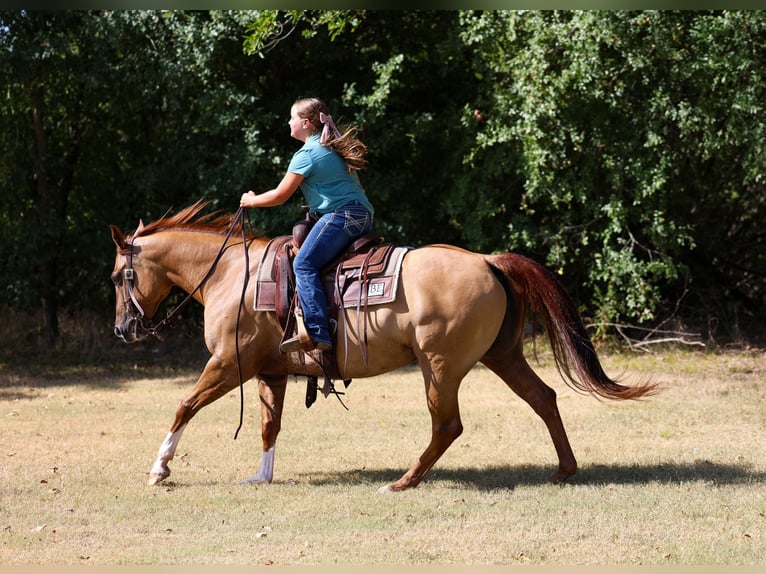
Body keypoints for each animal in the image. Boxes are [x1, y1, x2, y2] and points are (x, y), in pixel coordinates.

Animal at [110, 199, 658, 492]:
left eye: (118, 277)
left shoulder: (227, 365)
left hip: (440, 366)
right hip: (501, 355)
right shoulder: (270, 370)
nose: (122, 330)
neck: (231, 274)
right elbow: (269, 425)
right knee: (544, 398)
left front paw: (159, 468)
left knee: (448, 425)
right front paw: (261, 477)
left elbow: (184, 406)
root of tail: (488, 261)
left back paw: (403, 481)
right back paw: (565, 470)